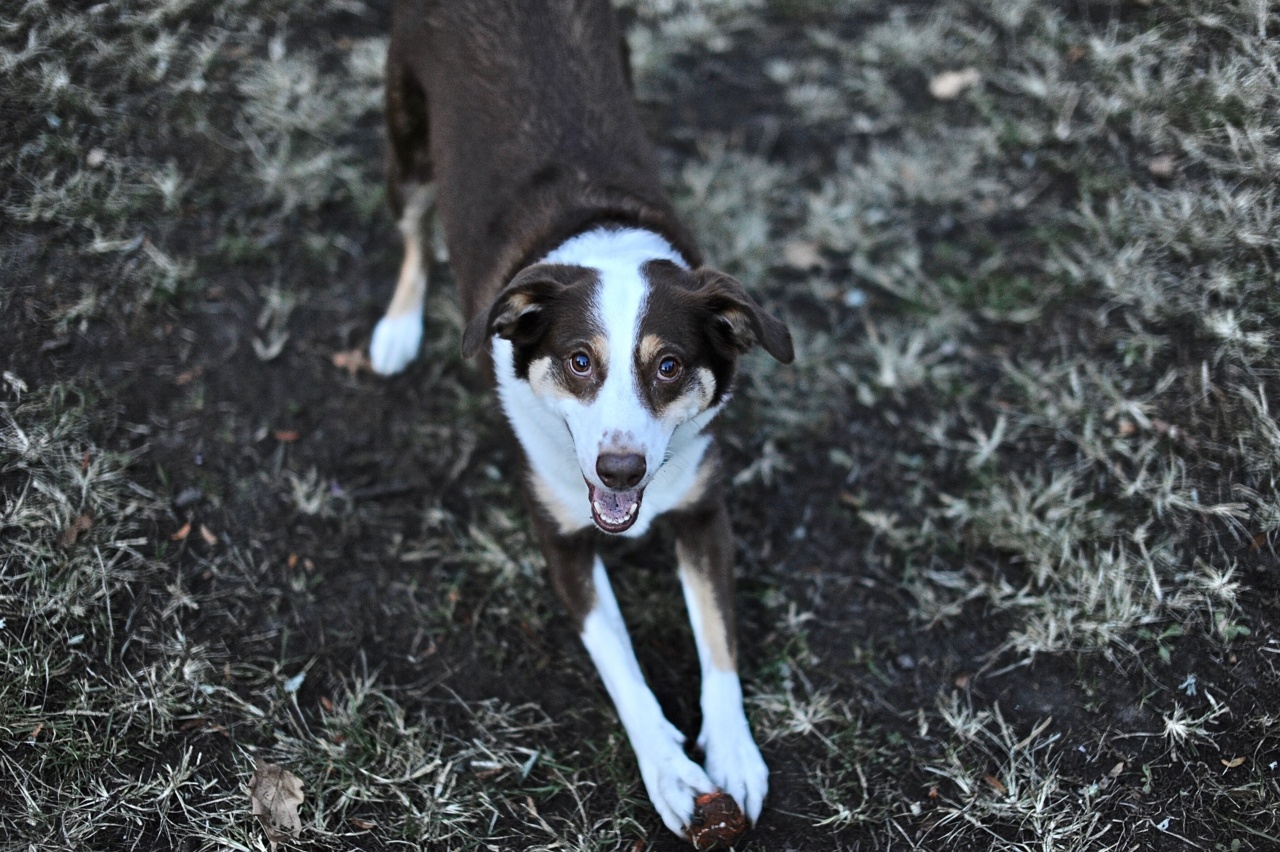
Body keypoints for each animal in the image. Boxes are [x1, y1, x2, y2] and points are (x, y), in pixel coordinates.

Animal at [368, 0, 788, 834]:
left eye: (669, 365)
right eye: (579, 361)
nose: (619, 471)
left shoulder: (703, 510)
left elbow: (718, 641)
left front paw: (733, 751)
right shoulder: (560, 536)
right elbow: (620, 660)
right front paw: (671, 771)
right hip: (407, 148)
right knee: (414, 236)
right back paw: (398, 327)